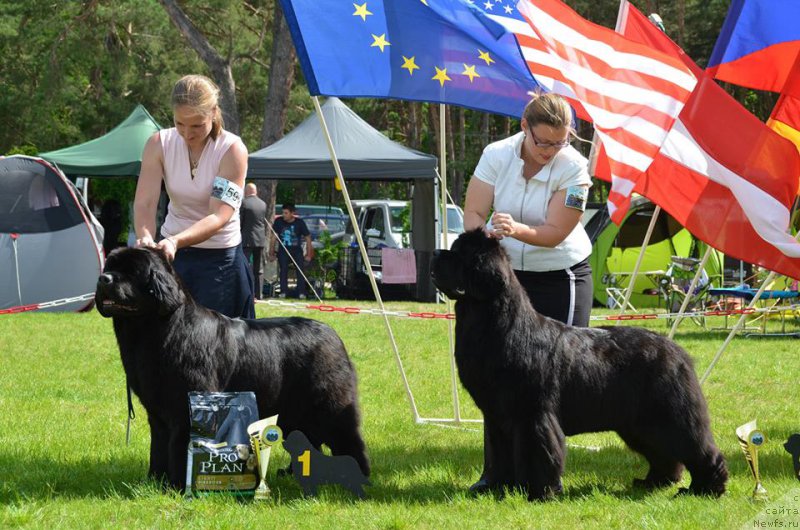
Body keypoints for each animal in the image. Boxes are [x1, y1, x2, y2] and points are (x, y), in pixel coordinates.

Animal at [96, 246, 368, 486]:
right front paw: (155, 481)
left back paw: (358, 476)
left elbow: (181, 445)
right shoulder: (157, 412)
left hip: (329, 404)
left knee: (349, 439)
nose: (103, 278)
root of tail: (333, 335)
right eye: (110, 267)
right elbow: (159, 446)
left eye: (132, 272)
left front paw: (178, 485)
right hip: (294, 411)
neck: (156, 331)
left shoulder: (187, 407)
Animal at [434, 229, 728, 498]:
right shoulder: (497, 416)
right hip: (638, 424)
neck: (498, 326)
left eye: (461, 255)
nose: (436, 253)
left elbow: (536, 452)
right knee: (662, 453)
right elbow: (498, 453)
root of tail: (676, 350)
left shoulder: (531, 414)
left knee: (698, 448)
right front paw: (497, 487)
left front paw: (538, 492)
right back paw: (654, 482)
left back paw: (704, 489)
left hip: (671, 415)